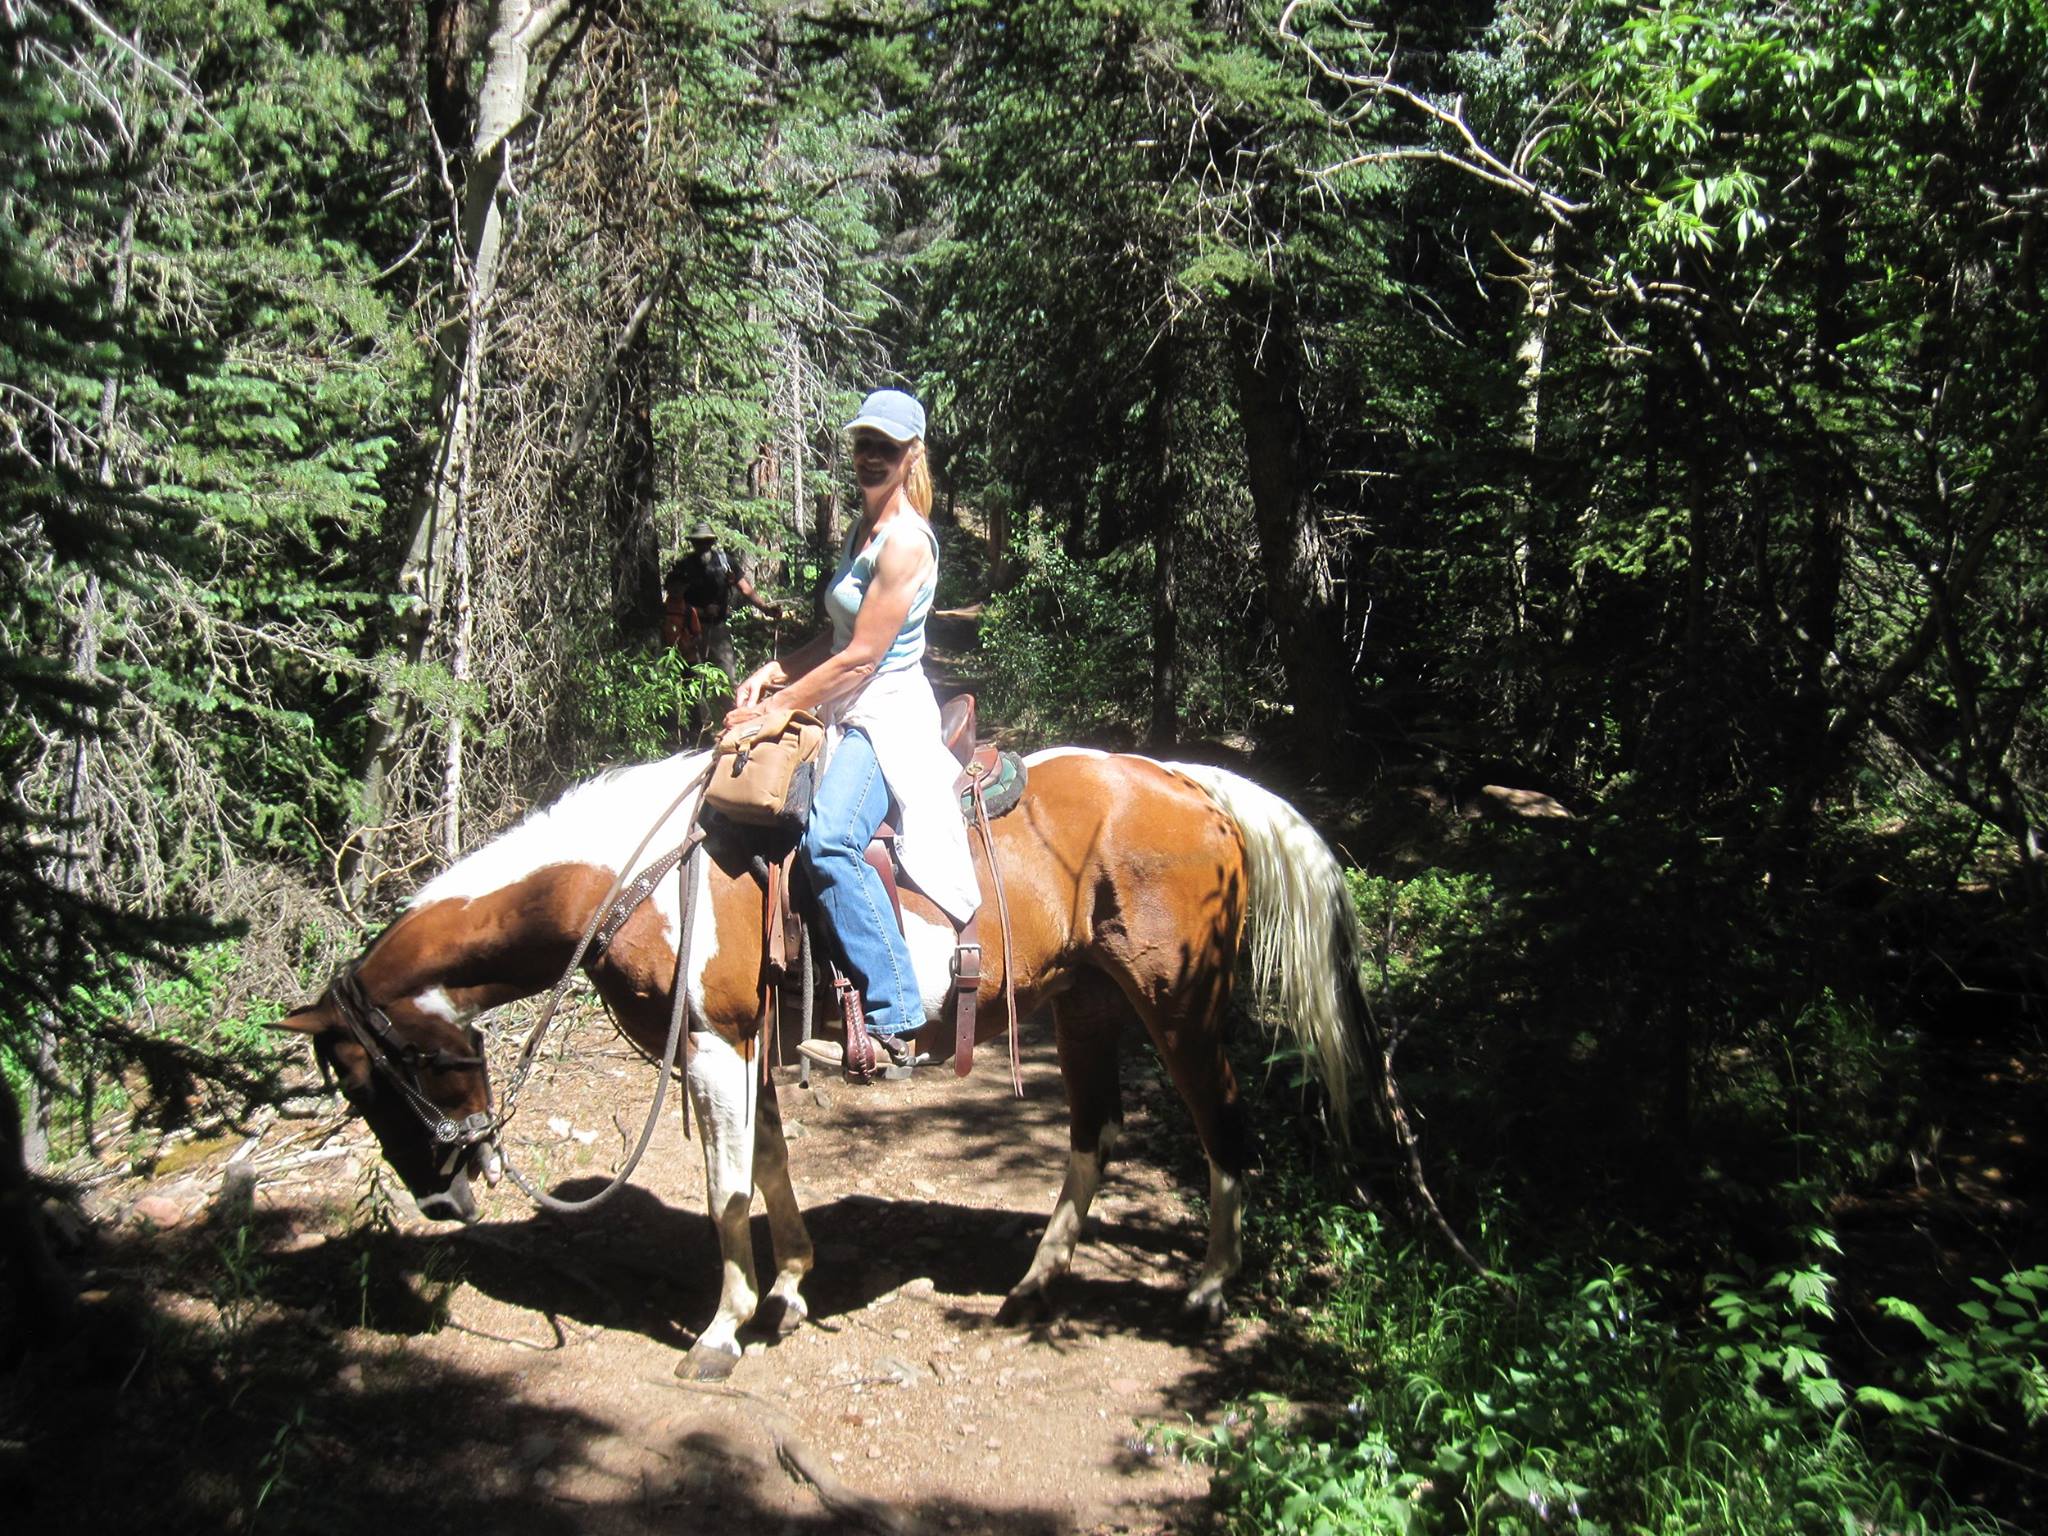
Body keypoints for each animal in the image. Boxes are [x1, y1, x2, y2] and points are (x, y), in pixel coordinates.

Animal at [277, 745, 1376, 1379]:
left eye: (371, 1080)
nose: (441, 1201)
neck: (632, 879)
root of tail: (1189, 784)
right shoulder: (743, 1046)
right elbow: (765, 1166)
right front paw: (791, 1291)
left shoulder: (713, 1044)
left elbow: (725, 1187)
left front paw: (722, 1332)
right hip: (1086, 1002)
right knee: (1094, 1134)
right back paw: (1031, 1289)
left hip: (1178, 1006)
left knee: (1223, 1129)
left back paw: (1207, 1291)